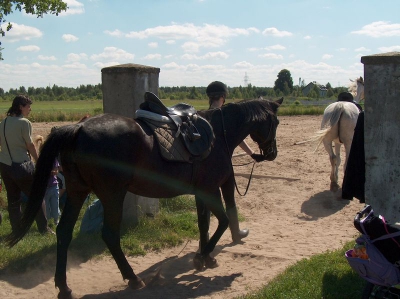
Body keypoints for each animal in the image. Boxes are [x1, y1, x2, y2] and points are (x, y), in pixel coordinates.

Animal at [4, 97, 282, 298]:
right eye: (277, 122)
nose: (272, 153)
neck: (218, 134)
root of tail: (79, 127)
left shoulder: (201, 191)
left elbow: (203, 224)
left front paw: (206, 257)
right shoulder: (211, 189)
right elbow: (222, 221)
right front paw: (202, 257)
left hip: (76, 191)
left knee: (64, 232)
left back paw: (63, 287)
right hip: (112, 195)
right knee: (110, 235)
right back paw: (133, 279)